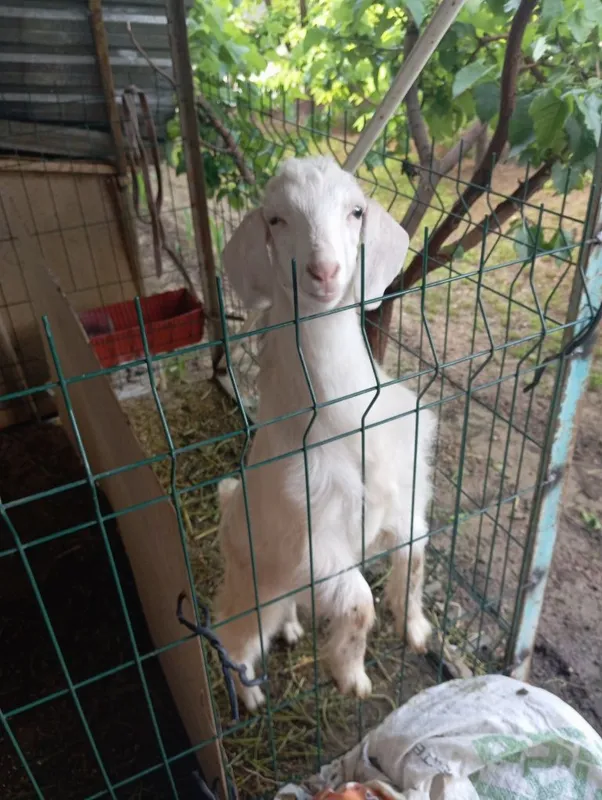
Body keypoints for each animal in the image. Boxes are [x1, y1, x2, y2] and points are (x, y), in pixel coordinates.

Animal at [214, 156, 436, 711]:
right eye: (275, 219)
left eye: (356, 211)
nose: (325, 271)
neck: (346, 417)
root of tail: (226, 503)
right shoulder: (314, 542)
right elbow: (358, 603)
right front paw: (352, 677)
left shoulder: (403, 494)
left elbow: (416, 555)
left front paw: (416, 630)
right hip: (256, 583)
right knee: (229, 632)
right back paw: (249, 696)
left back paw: (292, 629)